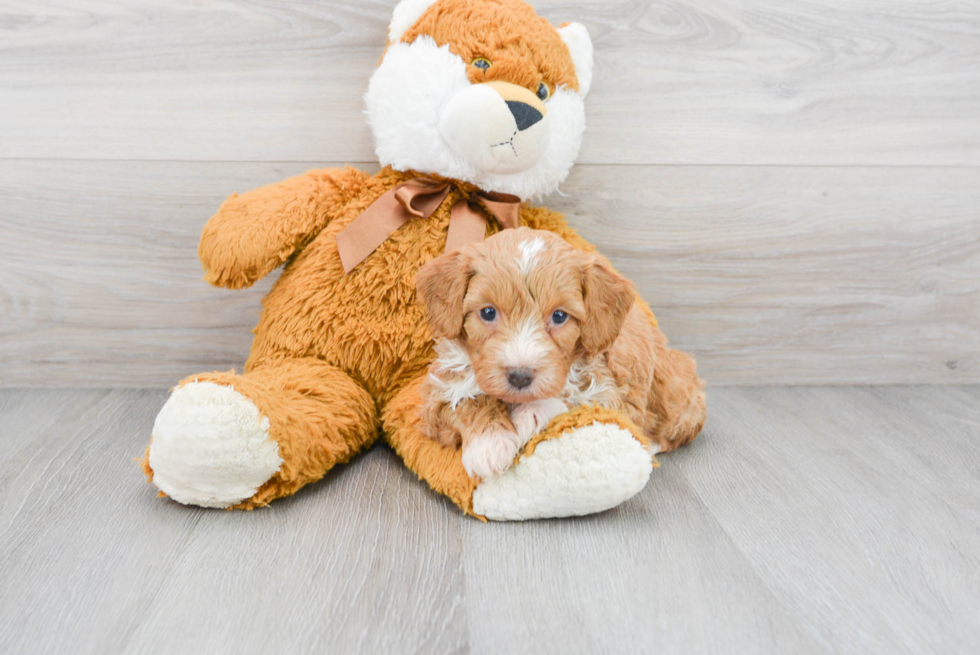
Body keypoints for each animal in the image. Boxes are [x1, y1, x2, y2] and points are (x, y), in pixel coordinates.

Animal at [414, 228, 696, 480]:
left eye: (559, 316)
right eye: (488, 312)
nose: (520, 376)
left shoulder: (613, 393)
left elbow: (575, 398)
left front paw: (530, 414)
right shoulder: (437, 395)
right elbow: (466, 401)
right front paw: (489, 446)